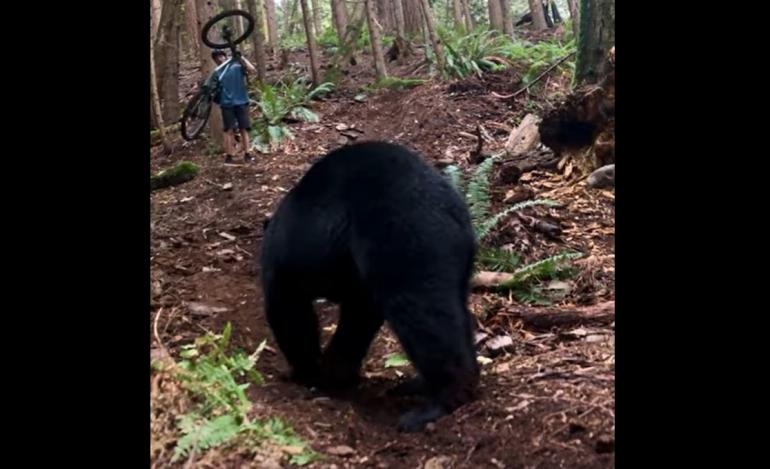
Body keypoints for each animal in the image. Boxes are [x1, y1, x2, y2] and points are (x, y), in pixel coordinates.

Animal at [259, 141, 479, 432]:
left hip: (407, 241)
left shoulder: (286, 269)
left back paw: (435, 404)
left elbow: (290, 314)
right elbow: (357, 320)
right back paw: (417, 385)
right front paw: (335, 373)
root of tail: (456, 215)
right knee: (454, 313)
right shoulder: (356, 281)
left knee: (424, 316)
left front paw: (308, 373)